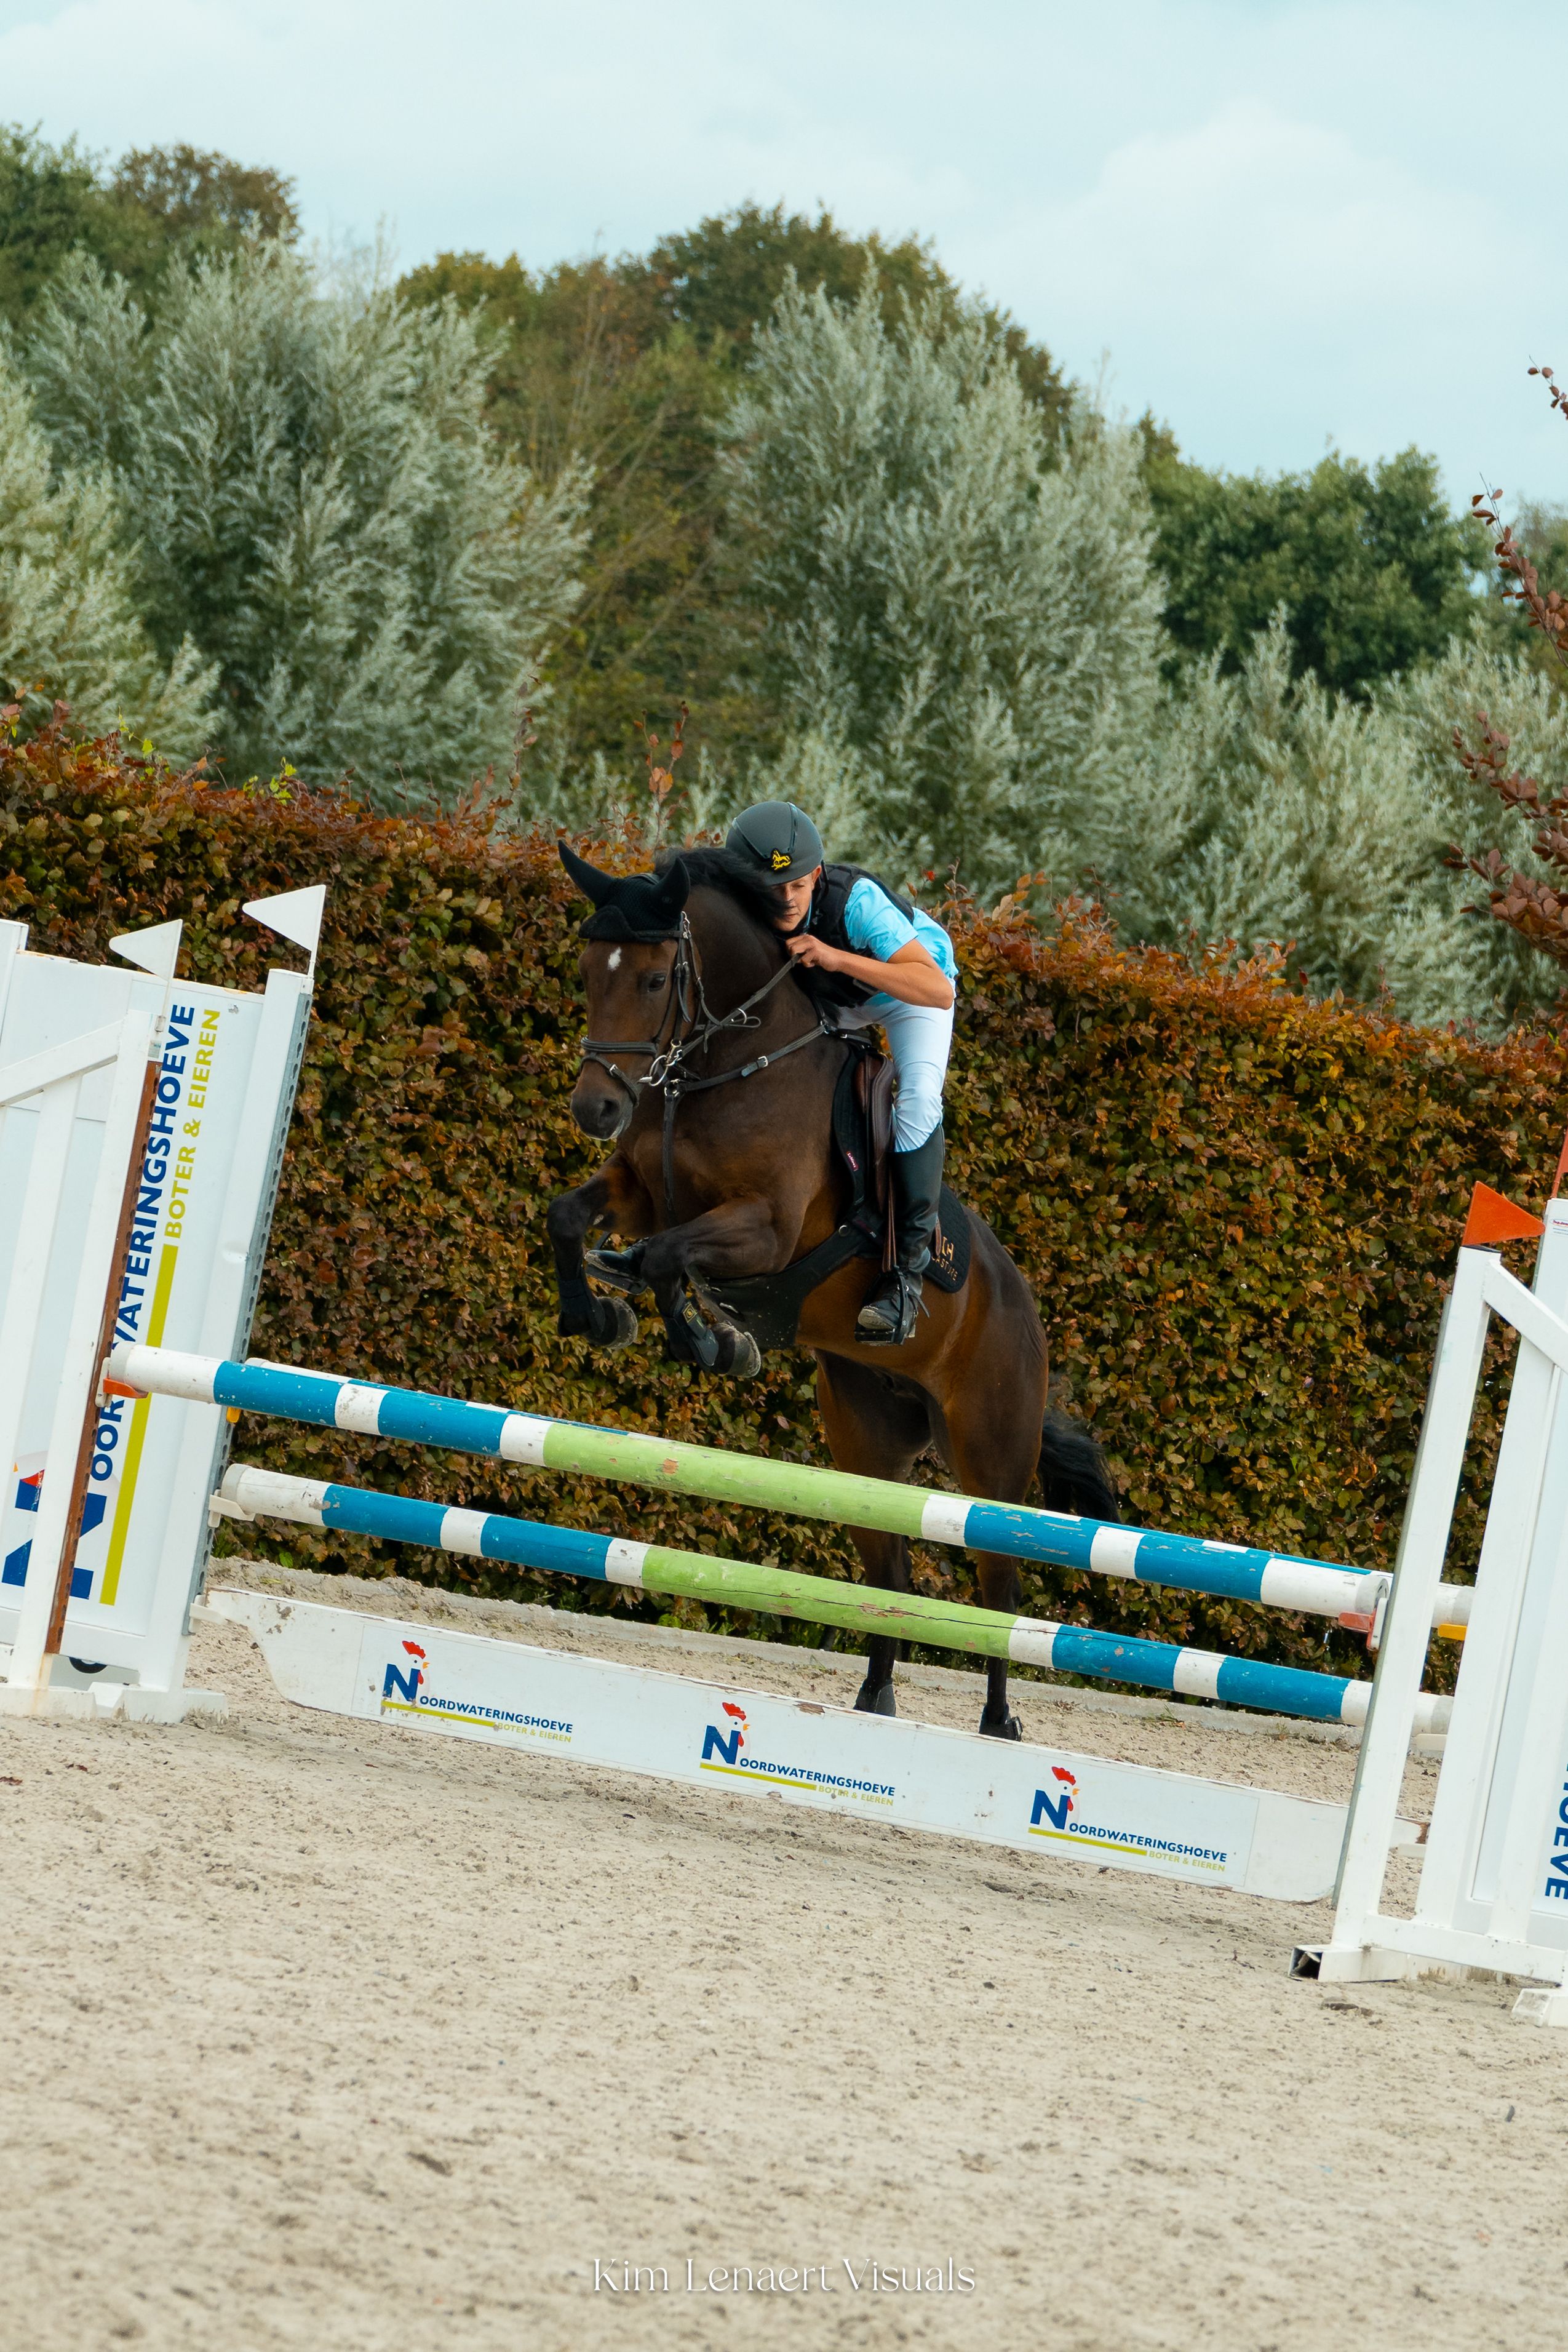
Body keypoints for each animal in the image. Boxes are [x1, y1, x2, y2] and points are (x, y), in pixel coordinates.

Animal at [545, 843, 1120, 1739]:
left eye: (654, 977)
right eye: (584, 969)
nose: (596, 1107)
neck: (723, 1069)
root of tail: (1025, 1309)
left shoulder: (767, 1229)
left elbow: (673, 1258)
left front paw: (717, 1340)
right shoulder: (641, 1190)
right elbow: (572, 1218)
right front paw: (600, 1312)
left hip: (991, 1458)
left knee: (995, 1594)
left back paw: (998, 1724)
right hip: (865, 1446)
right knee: (889, 1578)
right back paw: (873, 1703)